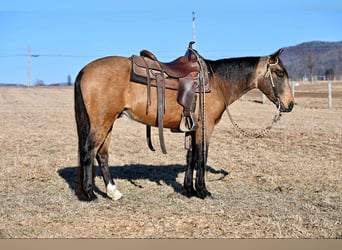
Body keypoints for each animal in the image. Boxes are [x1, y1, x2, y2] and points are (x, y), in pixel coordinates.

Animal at [74, 42, 294, 201]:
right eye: (279, 73)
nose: (290, 104)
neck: (218, 82)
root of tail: (84, 70)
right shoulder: (205, 127)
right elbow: (201, 157)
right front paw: (203, 191)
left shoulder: (191, 128)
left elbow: (190, 157)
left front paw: (189, 189)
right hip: (102, 122)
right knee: (88, 151)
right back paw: (89, 194)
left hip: (109, 122)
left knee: (102, 155)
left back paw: (113, 192)